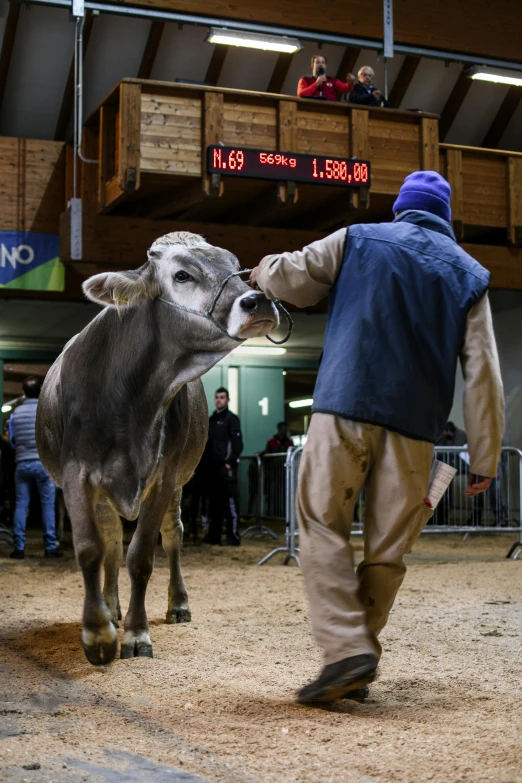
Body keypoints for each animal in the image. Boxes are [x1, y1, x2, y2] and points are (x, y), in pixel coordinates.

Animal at [34, 233, 278, 668]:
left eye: (236, 266)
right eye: (181, 274)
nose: (258, 300)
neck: (129, 400)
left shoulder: (163, 477)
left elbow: (142, 557)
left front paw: (135, 634)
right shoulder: (77, 474)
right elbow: (90, 549)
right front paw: (97, 633)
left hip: (179, 485)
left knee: (173, 536)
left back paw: (176, 604)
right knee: (111, 541)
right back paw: (110, 607)